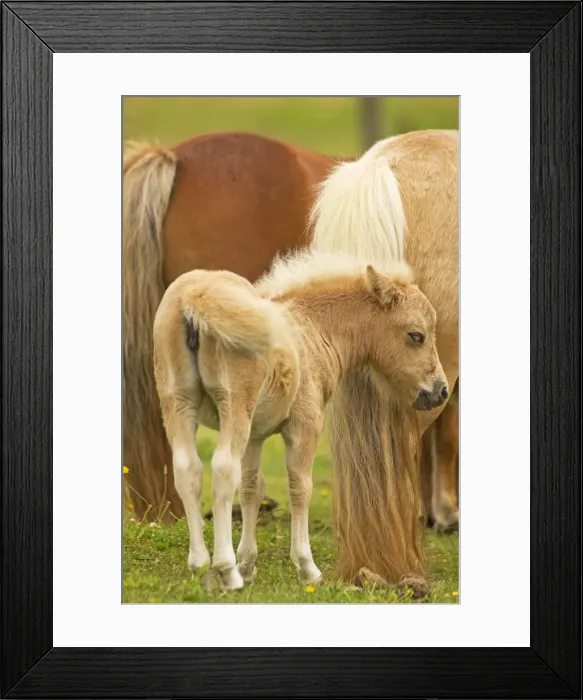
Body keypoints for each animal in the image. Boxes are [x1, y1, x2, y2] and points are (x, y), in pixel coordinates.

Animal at [153, 249, 448, 590]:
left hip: (178, 402)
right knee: (223, 469)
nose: (440, 391)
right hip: (234, 404)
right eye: (416, 335)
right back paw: (224, 569)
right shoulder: (305, 425)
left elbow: (252, 488)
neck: (313, 329)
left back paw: (201, 567)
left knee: (188, 470)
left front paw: (248, 564)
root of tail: (195, 299)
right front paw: (306, 567)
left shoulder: (256, 434)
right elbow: (301, 487)